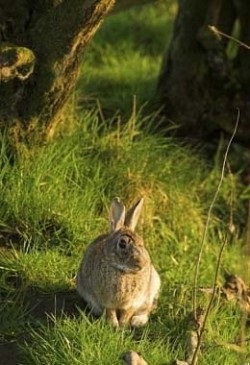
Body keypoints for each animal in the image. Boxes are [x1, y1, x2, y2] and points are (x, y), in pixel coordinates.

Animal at [76, 196, 161, 328]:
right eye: (122, 244)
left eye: (142, 242)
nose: (142, 263)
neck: (123, 271)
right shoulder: (106, 300)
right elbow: (110, 311)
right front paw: (113, 325)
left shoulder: (133, 302)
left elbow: (127, 313)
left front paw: (123, 325)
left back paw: (137, 321)